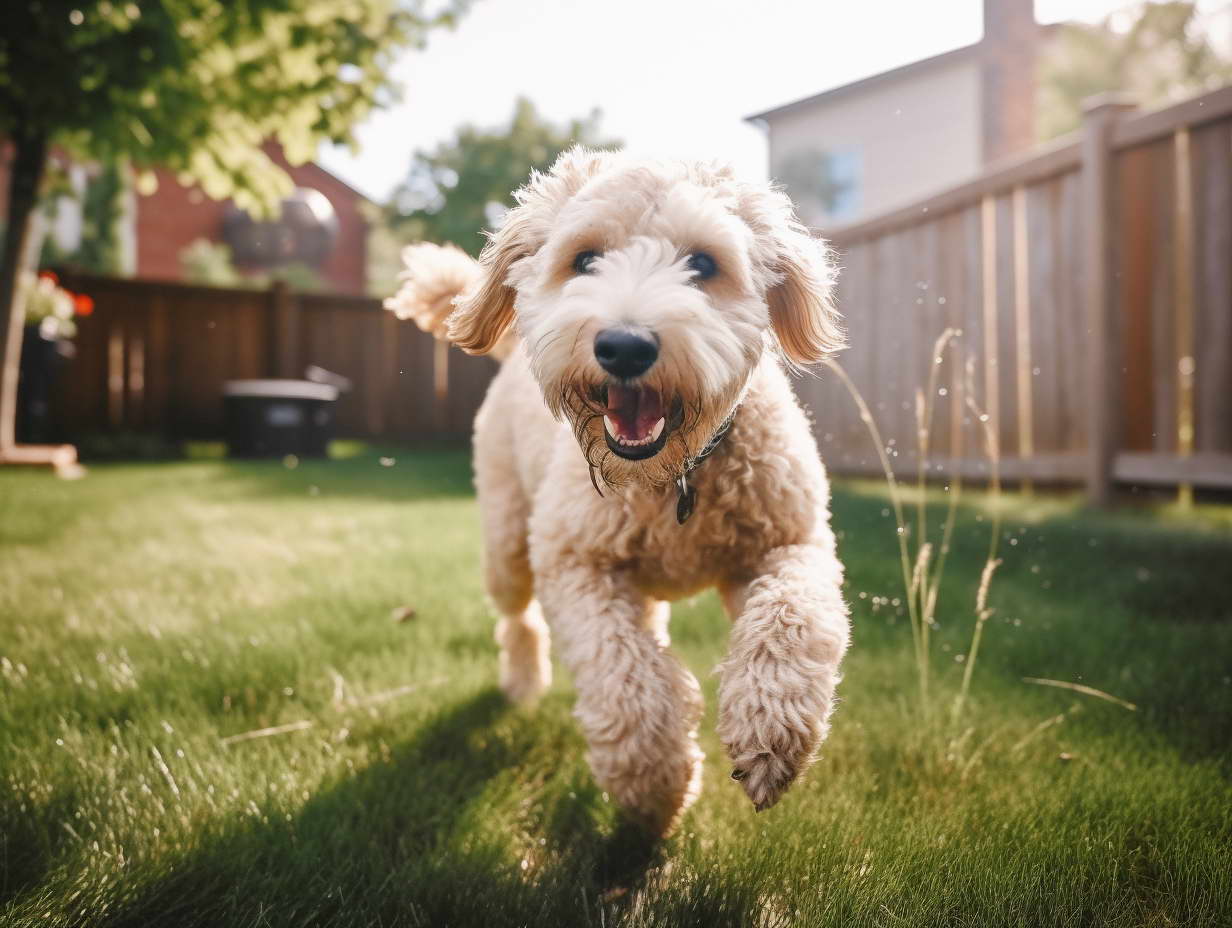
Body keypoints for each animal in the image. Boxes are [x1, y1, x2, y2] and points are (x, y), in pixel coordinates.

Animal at [389, 148, 852, 838]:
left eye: (703, 264)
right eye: (585, 260)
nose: (624, 347)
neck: (672, 475)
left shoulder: (790, 544)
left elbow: (793, 616)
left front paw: (768, 726)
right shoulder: (577, 566)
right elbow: (621, 674)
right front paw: (654, 782)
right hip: (508, 544)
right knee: (518, 618)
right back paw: (523, 681)